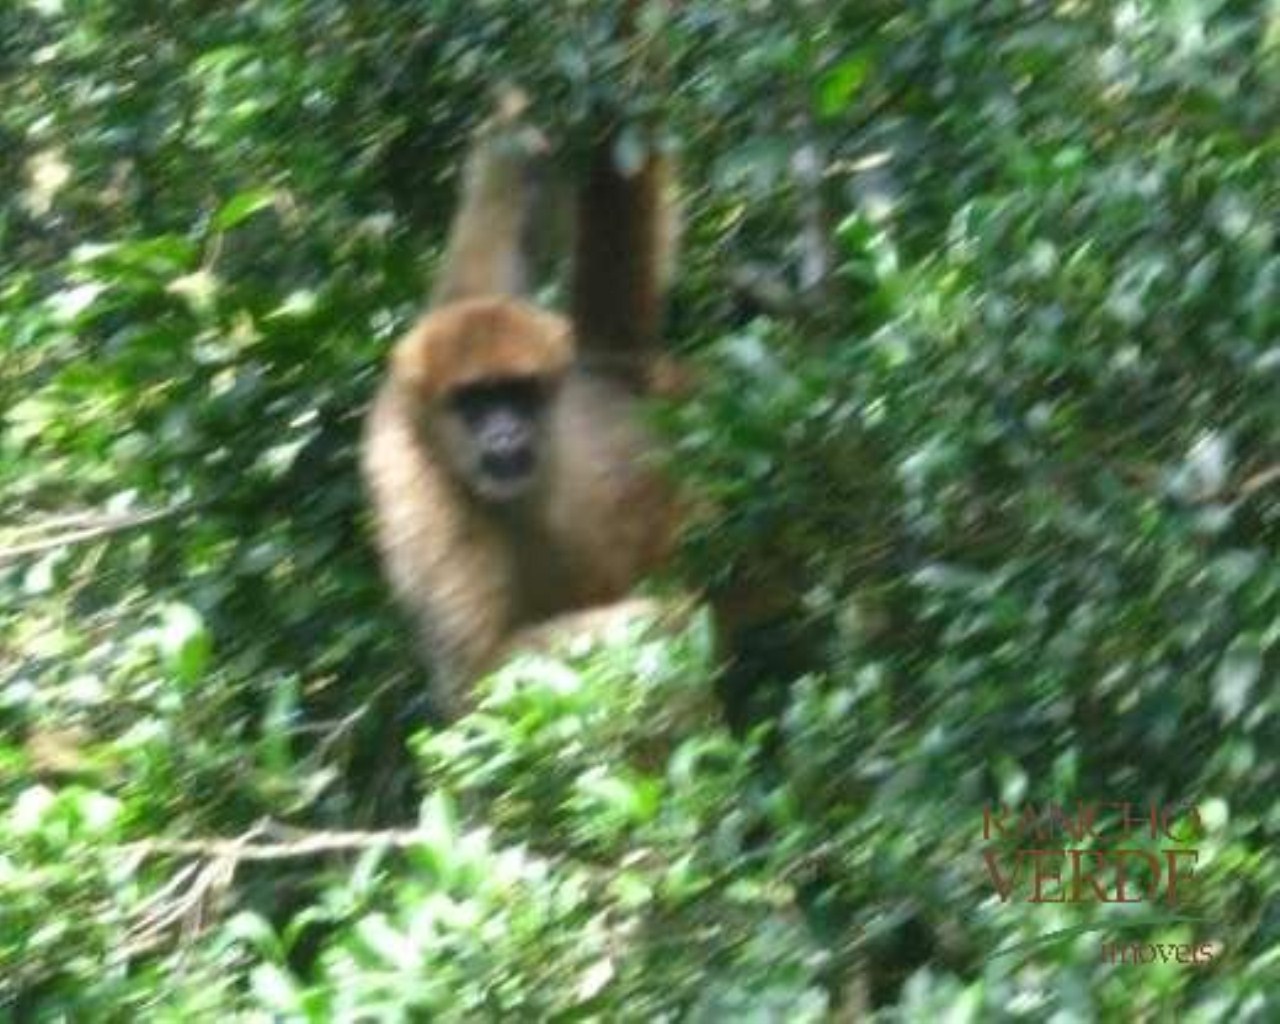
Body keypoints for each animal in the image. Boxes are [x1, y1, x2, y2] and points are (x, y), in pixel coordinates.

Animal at [360, 96, 680, 721]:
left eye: (518, 392)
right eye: (476, 403)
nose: (505, 434)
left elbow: (494, 224)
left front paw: (514, 132)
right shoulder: (413, 478)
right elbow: (481, 673)